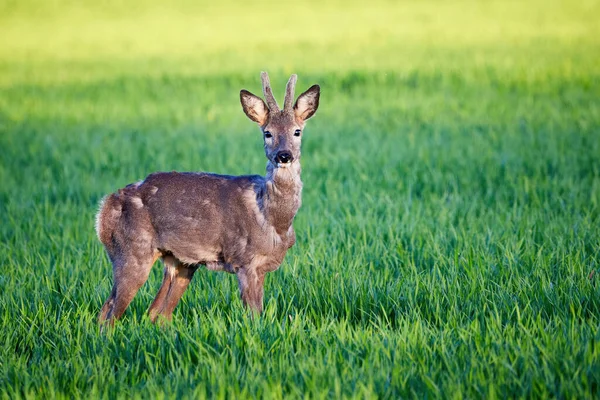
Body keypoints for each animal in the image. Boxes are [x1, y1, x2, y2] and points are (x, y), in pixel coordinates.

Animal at [95, 72, 318, 326]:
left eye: (297, 131)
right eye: (267, 132)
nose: (284, 155)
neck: (272, 219)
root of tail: (104, 209)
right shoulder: (245, 260)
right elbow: (254, 316)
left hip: (180, 262)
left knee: (156, 313)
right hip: (131, 250)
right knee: (109, 313)